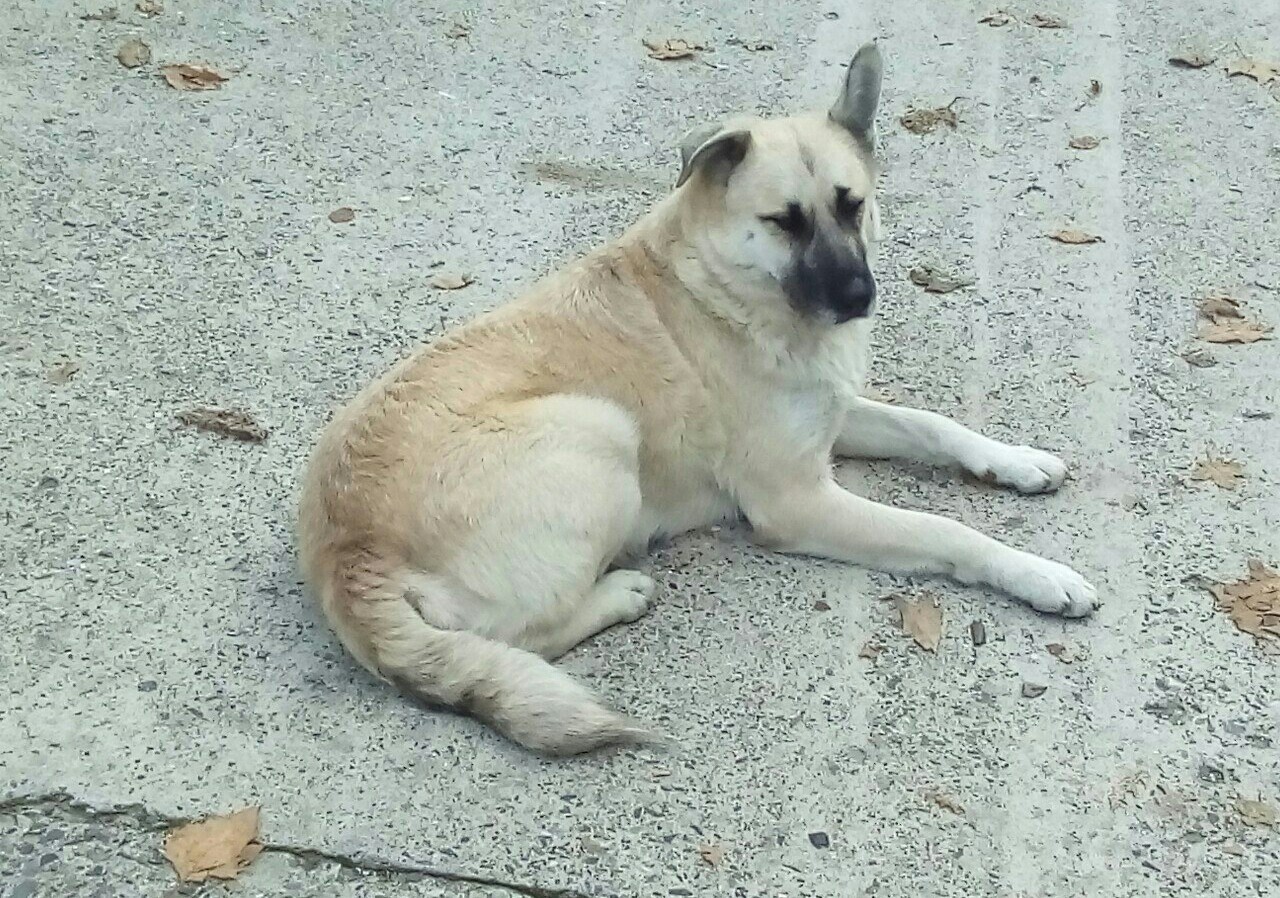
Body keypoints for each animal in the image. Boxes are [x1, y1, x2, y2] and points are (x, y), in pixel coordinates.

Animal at [294, 44, 1095, 757]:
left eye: (852, 206)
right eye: (784, 221)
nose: (858, 298)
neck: (726, 286)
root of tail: (344, 548)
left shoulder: (834, 415)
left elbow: (935, 425)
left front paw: (1015, 462)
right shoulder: (797, 501)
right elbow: (949, 532)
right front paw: (1041, 576)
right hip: (599, 429)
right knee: (511, 634)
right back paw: (619, 594)